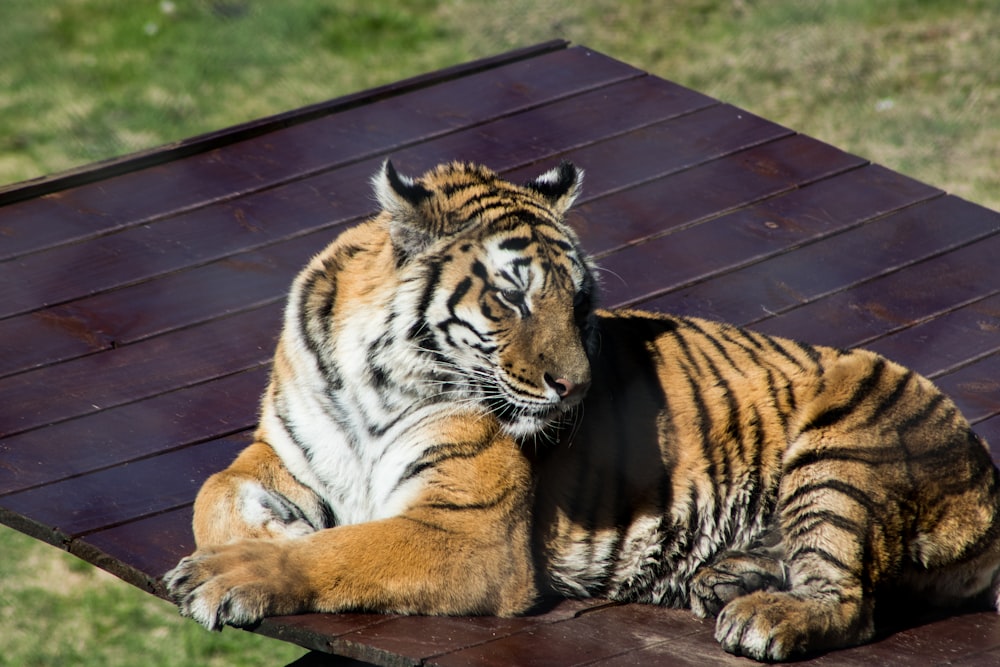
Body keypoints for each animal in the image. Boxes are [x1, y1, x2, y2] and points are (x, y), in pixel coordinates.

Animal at [164, 159, 1000, 660]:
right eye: (510, 298)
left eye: (581, 300)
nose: (575, 387)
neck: (372, 377)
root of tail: (987, 474)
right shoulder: (283, 448)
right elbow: (213, 491)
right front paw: (263, 530)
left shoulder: (469, 530)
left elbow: (345, 550)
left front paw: (238, 570)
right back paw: (729, 578)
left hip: (845, 448)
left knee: (852, 601)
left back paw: (766, 616)